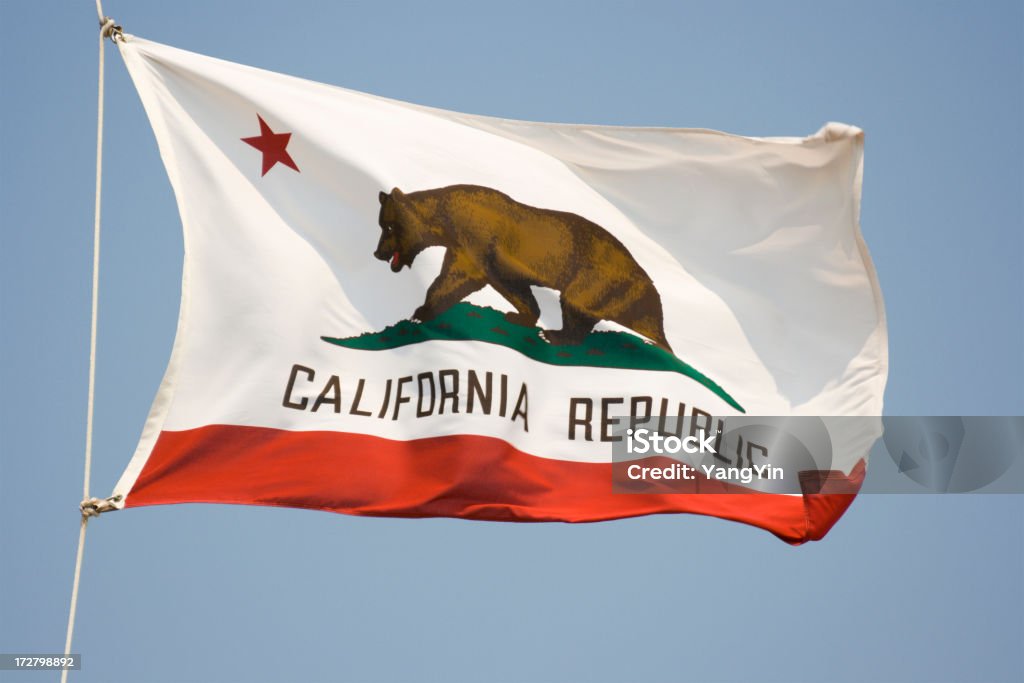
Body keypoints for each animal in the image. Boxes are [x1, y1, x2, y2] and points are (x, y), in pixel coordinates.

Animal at [376, 184, 671, 352]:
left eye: (388, 227)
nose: (378, 253)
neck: (445, 220)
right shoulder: (464, 249)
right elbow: (460, 279)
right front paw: (423, 311)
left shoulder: (479, 241)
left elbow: (484, 279)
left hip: (597, 277)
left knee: (576, 304)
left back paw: (554, 335)